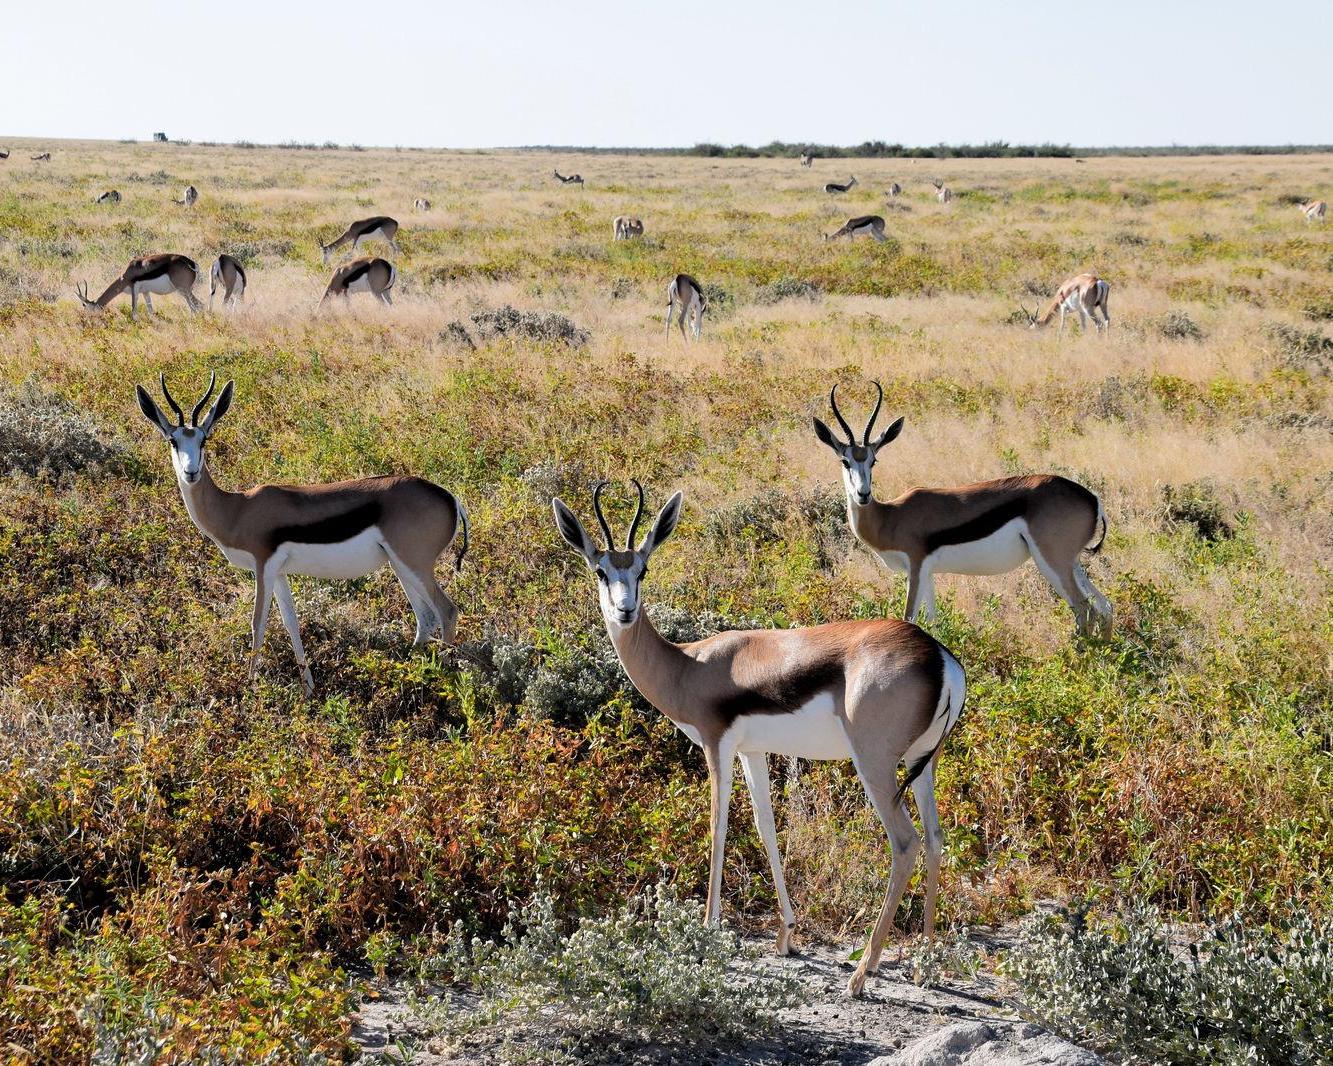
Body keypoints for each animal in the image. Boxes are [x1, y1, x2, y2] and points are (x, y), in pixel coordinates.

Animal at [135, 373, 469, 692]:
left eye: (204, 439)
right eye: (173, 441)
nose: (190, 472)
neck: (237, 509)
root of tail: (450, 498)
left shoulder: (263, 566)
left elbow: (258, 623)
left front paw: (250, 691)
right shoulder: (280, 572)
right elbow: (291, 623)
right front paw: (308, 689)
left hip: (414, 565)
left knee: (447, 612)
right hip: (400, 566)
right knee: (426, 618)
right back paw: (410, 673)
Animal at [554, 479, 970, 996]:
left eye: (642, 568)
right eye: (601, 569)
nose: (625, 610)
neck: (688, 666)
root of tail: (938, 655)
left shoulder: (716, 745)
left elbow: (719, 827)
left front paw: (707, 932)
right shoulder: (753, 751)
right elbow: (765, 826)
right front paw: (786, 935)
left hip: (874, 763)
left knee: (906, 842)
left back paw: (863, 971)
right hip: (922, 763)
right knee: (934, 837)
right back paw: (924, 965)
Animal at [810, 381, 1114, 636]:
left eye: (873, 461)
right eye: (845, 461)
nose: (863, 494)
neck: (889, 517)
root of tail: (1091, 498)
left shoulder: (916, 566)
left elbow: (909, 617)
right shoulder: (927, 573)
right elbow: (932, 621)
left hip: (1051, 561)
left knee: (1083, 608)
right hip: (1072, 562)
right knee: (1105, 606)